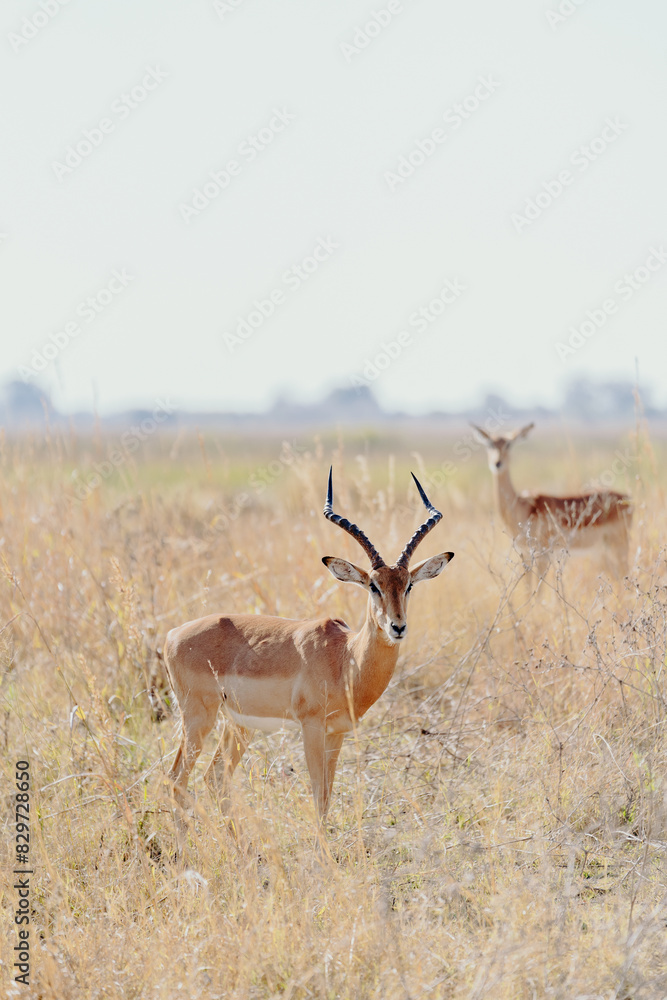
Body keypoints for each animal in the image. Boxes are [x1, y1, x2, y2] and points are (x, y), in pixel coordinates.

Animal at [163, 468, 454, 838]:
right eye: (373, 585)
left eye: (408, 585)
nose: (397, 627)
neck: (346, 659)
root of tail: (173, 634)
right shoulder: (311, 727)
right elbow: (318, 795)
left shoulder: (338, 733)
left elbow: (327, 796)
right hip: (198, 719)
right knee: (176, 779)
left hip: (238, 725)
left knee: (215, 778)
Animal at [471, 422, 633, 581]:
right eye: (489, 444)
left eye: (509, 444)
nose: (497, 463)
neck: (523, 507)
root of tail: (628, 499)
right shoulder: (525, 555)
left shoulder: (543, 555)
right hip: (601, 552)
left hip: (619, 548)